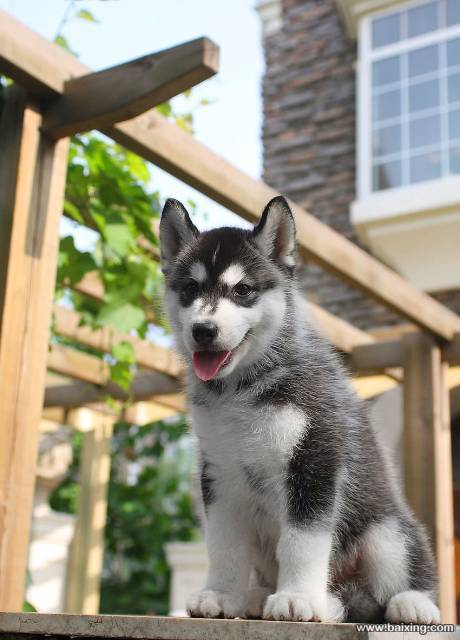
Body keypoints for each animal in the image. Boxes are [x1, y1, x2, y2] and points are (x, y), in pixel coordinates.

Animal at [160, 196, 440, 624]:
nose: (203, 331)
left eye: (243, 290)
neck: (243, 389)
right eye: (191, 288)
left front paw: (296, 598)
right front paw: (220, 594)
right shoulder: (219, 473)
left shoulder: (314, 460)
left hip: (386, 531)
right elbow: (223, 545)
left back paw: (408, 602)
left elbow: (302, 542)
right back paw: (262, 597)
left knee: (396, 579)